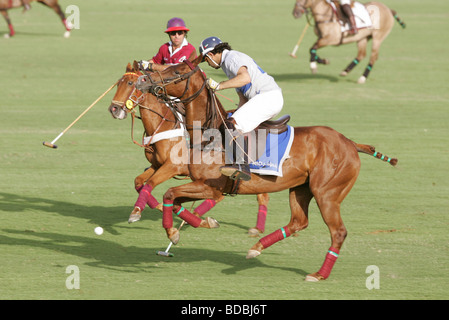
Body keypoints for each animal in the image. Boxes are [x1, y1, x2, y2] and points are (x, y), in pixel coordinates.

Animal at [108, 60, 270, 235]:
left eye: (130, 83)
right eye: (118, 83)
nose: (114, 109)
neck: (162, 125)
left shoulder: (173, 167)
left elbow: (150, 183)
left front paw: (136, 212)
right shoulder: (157, 165)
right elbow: (138, 182)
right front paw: (158, 208)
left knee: (254, 195)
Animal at [136, 56, 396, 282]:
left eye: (176, 72)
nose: (143, 80)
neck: (210, 134)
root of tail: (350, 142)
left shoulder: (212, 188)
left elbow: (169, 193)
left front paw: (176, 232)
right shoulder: (199, 185)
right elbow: (173, 200)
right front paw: (187, 229)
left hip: (327, 194)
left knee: (338, 232)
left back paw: (318, 274)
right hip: (301, 189)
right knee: (298, 222)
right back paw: (256, 248)